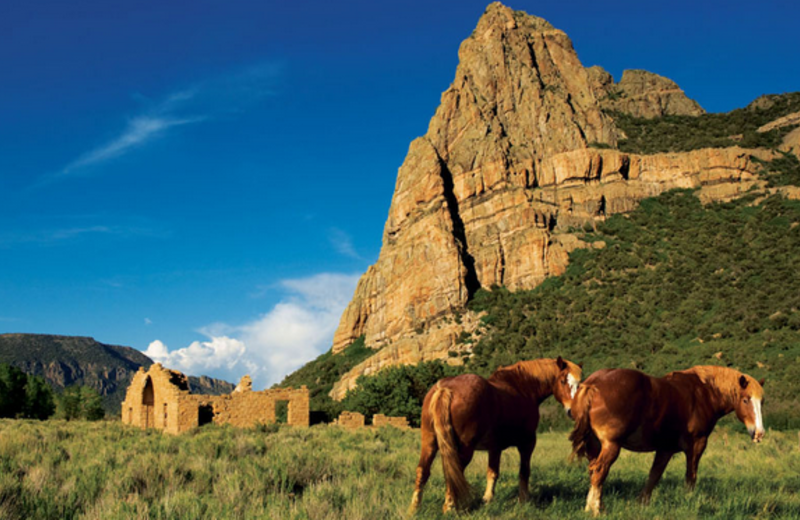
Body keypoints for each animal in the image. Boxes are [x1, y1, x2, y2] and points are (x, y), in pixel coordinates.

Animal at [410, 358, 580, 512]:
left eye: (579, 385)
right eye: (563, 381)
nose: (572, 411)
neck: (522, 387)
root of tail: (445, 389)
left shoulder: (494, 448)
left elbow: (492, 473)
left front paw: (487, 499)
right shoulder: (527, 443)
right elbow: (524, 472)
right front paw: (524, 500)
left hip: (430, 443)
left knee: (423, 471)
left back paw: (415, 508)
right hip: (464, 449)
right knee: (453, 473)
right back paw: (449, 507)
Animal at [572, 366, 764, 516]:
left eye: (761, 402)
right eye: (745, 400)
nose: (759, 433)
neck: (704, 394)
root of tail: (594, 383)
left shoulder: (665, 449)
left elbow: (654, 475)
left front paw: (642, 504)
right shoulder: (697, 445)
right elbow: (690, 476)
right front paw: (689, 500)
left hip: (595, 446)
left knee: (594, 472)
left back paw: (592, 507)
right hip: (611, 446)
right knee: (599, 471)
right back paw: (596, 510)